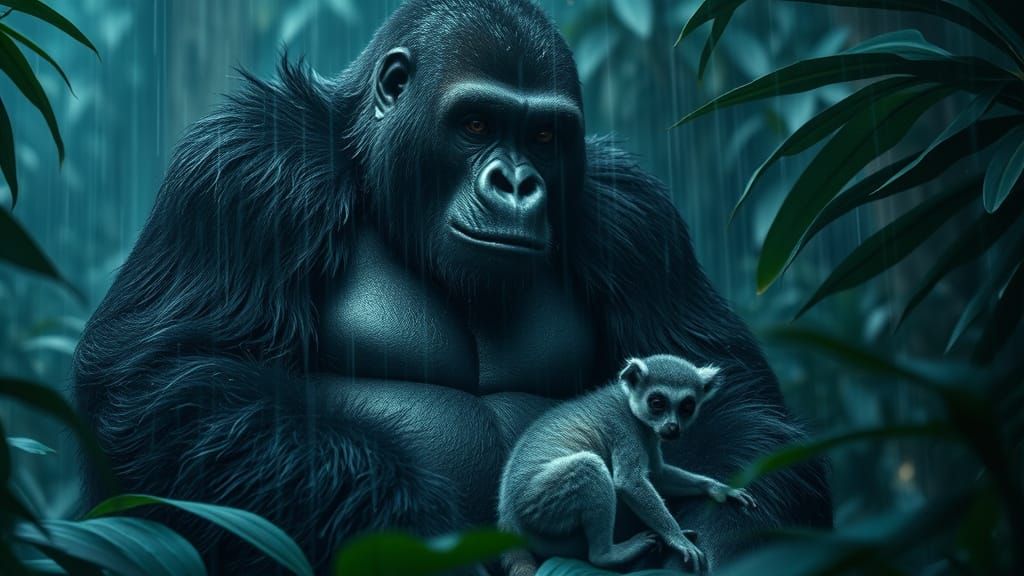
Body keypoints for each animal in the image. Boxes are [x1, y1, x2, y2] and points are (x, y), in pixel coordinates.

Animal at [497, 354, 757, 576]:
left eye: (687, 406)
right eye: (657, 403)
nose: (672, 427)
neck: (632, 409)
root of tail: (508, 512)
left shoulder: (649, 435)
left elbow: (658, 476)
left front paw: (717, 488)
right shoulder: (624, 429)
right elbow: (629, 482)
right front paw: (677, 539)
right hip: (538, 501)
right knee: (588, 468)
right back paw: (607, 555)